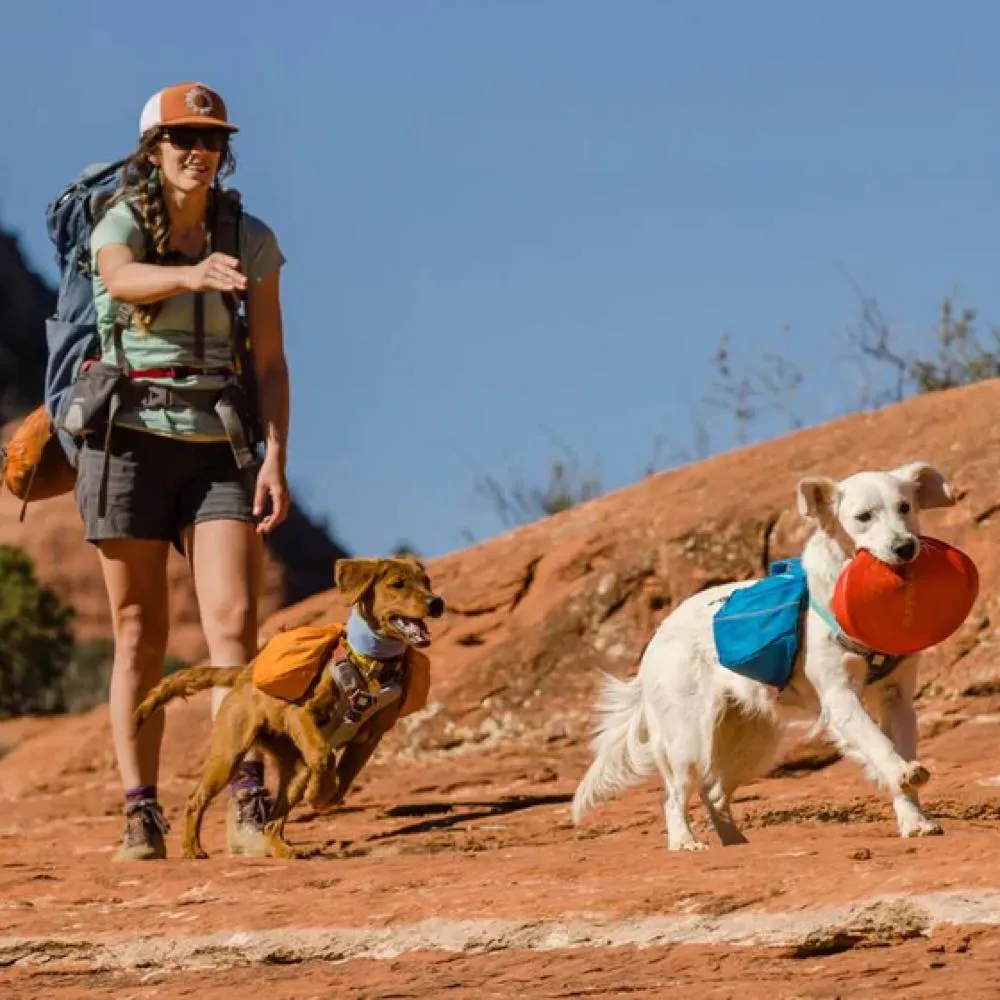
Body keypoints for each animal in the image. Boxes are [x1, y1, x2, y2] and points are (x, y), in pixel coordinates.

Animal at [133, 556, 446, 860]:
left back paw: (284, 849)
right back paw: (191, 848)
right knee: (195, 800)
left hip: (294, 768)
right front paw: (318, 794)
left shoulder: (369, 737)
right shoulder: (301, 714)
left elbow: (343, 780)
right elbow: (324, 756)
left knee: (273, 820)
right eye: (398, 584)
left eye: (426, 582)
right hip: (229, 754)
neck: (371, 664)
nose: (437, 603)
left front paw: (324, 795)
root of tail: (244, 673)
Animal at [572, 464, 952, 848]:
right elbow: (879, 745)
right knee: (673, 795)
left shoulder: (896, 698)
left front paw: (915, 821)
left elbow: (898, 751)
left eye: (904, 507)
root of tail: (656, 637)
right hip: (688, 739)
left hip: (754, 742)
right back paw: (684, 842)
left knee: (713, 793)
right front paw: (904, 774)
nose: (905, 547)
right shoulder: (840, 697)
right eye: (863, 517)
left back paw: (734, 842)